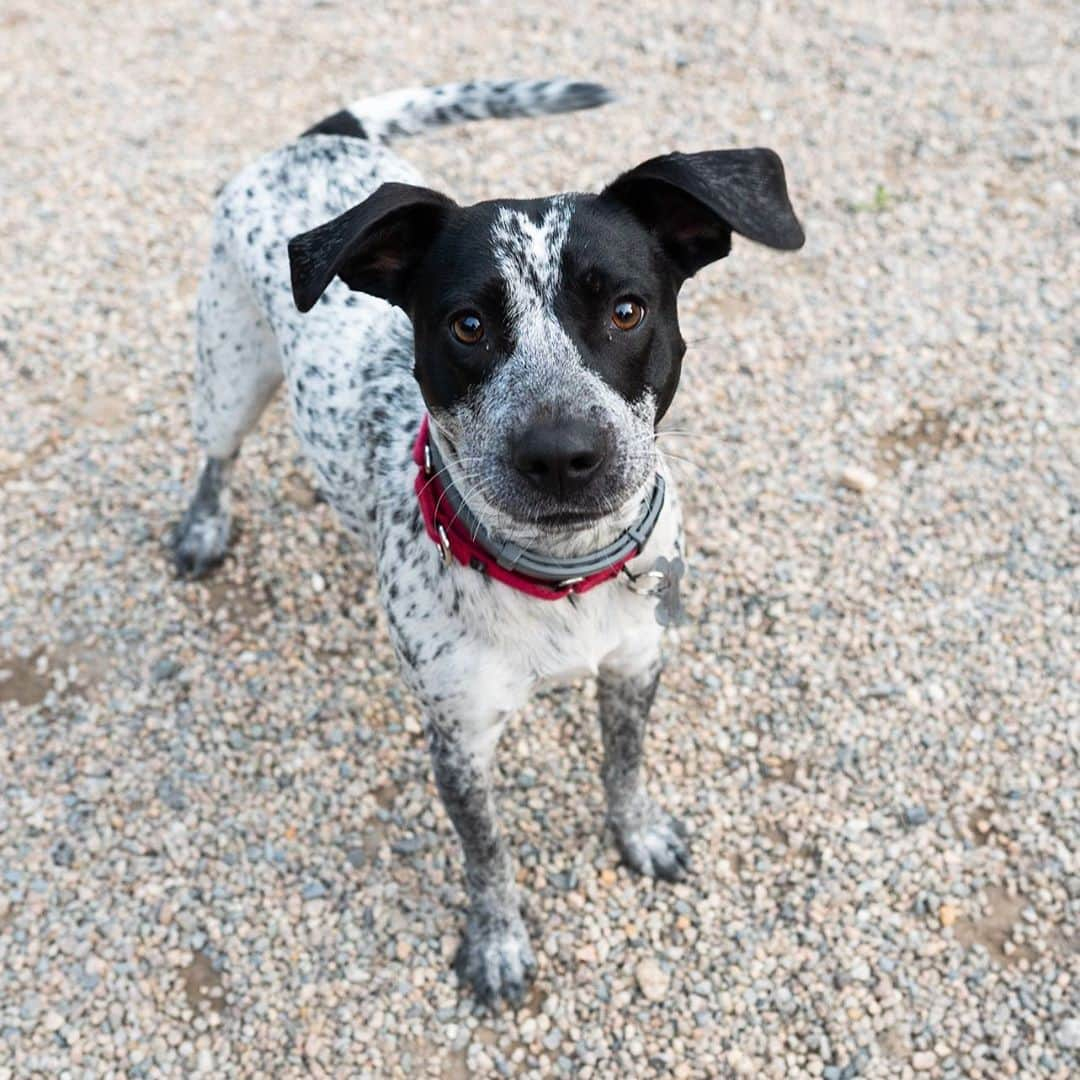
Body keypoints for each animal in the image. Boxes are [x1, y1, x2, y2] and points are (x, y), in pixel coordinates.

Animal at [174, 76, 803, 1002]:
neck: (562, 579)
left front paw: (639, 832)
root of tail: (317, 138)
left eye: (627, 310)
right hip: (229, 373)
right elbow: (488, 854)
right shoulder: (459, 739)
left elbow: (624, 767)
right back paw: (203, 526)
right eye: (467, 325)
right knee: (216, 457)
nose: (561, 453)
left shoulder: (636, 664)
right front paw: (498, 942)